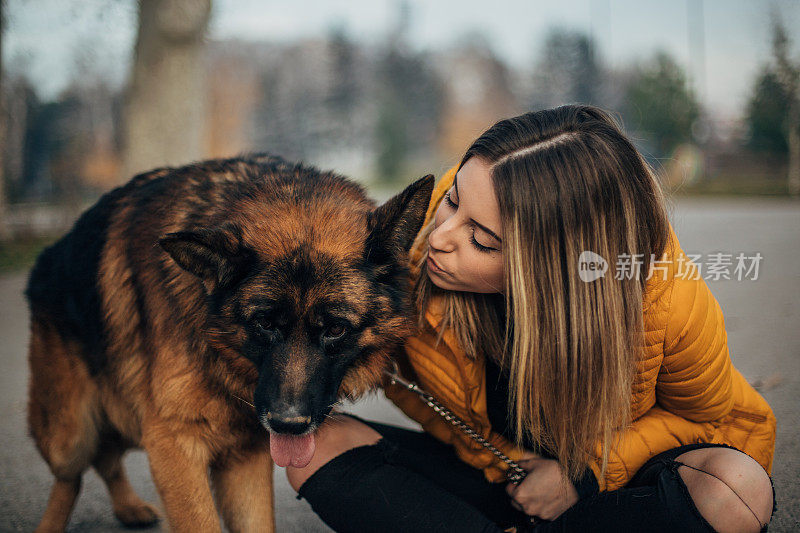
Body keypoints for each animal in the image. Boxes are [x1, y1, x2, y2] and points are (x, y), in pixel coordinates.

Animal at [25, 152, 434, 528]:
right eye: (265, 323)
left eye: (335, 329)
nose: (288, 424)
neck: (219, 354)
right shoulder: (174, 447)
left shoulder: (244, 455)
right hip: (70, 433)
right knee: (71, 475)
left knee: (106, 456)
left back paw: (128, 507)